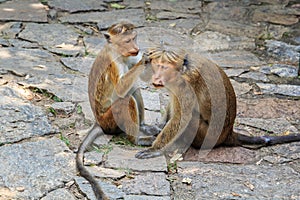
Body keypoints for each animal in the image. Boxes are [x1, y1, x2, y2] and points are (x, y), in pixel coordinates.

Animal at [75, 22, 159, 200]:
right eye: (127, 40)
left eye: (134, 38)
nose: (136, 47)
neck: (119, 52)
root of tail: (99, 122)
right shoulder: (113, 62)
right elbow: (121, 89)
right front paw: (145, 58)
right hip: (110, 120)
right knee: (126, 99)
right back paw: (136, 140)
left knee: (134, 89)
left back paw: (143, 126)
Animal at [135, 43, 300, 159]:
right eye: (157, 66)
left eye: (164, 67)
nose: (156, 77)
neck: (183, 68)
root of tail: (228, 134)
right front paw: (158, 127)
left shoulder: (186, 84)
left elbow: (181, 117)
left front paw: (155, 149)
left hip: (207, 137)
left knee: (192, 118)